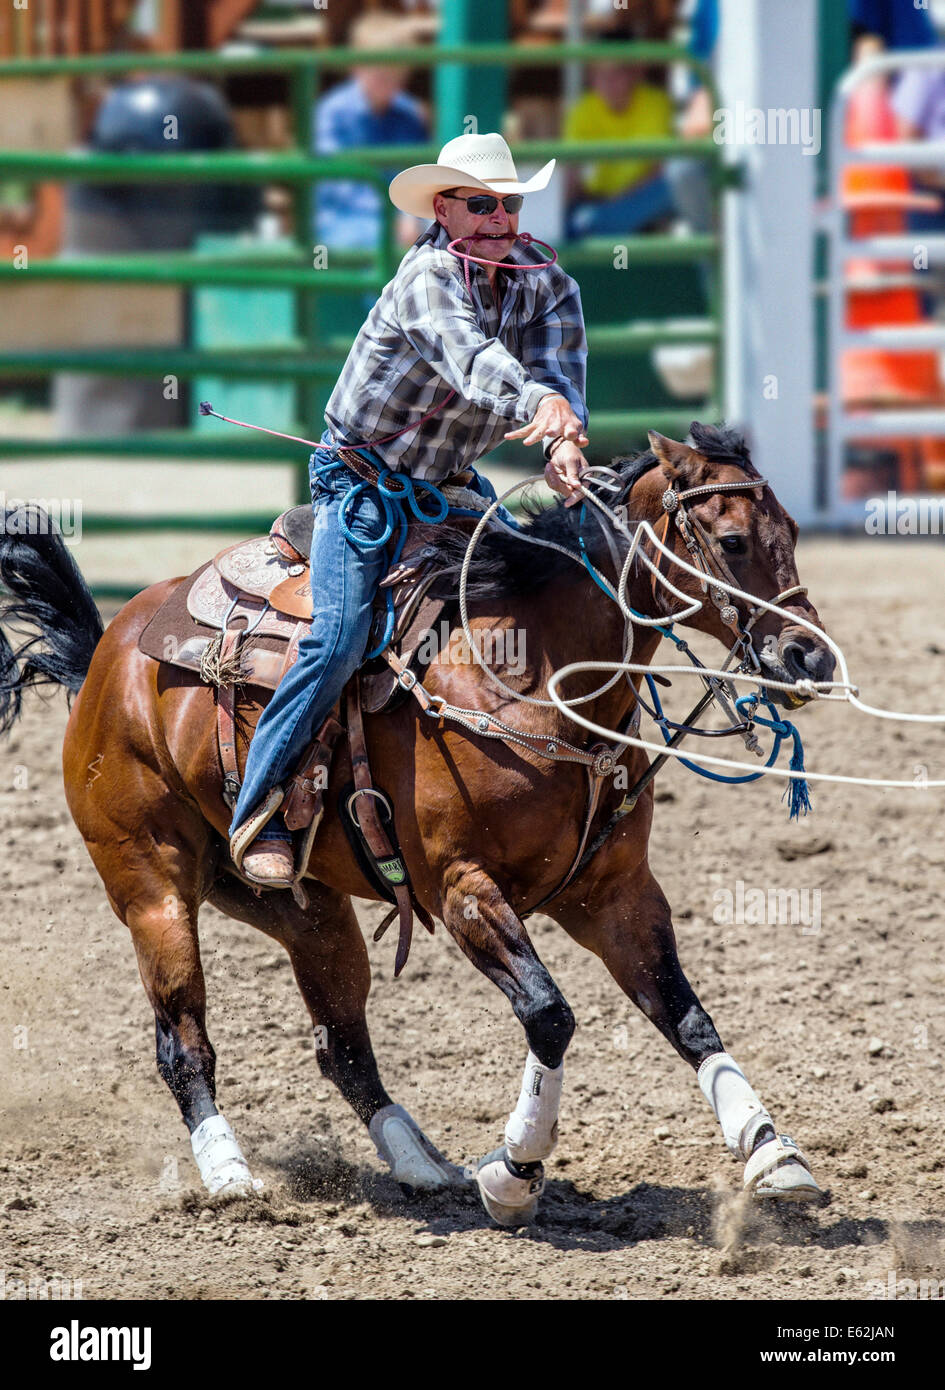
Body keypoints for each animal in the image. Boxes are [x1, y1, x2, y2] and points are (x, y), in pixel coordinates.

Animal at [0, 423, 837, 1224]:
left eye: (793, 530)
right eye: (731, 540)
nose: (810, 658)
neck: (530, 676)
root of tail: (111, 650)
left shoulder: (614, 893)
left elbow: (686, 1017)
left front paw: (773, 1155)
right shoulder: (463, 889)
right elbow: (549, 1015)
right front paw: (514, 1173)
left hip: (306, 911)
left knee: (342, 1047)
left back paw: (420, 1163)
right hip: (152, 888)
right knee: (183, 1042)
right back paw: (231, 1176)